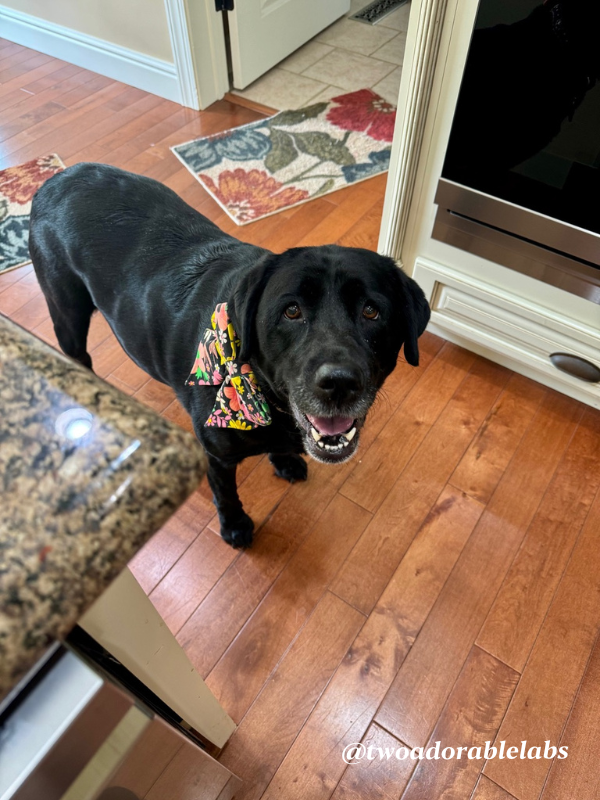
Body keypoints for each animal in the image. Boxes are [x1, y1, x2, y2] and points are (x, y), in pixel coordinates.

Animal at [30, 163, 428, 552]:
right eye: (292, 311)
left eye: (371, 311)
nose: (339, 383)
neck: (264, 395)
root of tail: (54, 180)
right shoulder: (216, 455)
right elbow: (225, 493)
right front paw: (235, 526)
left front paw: (284, 460)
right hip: (67, 315)